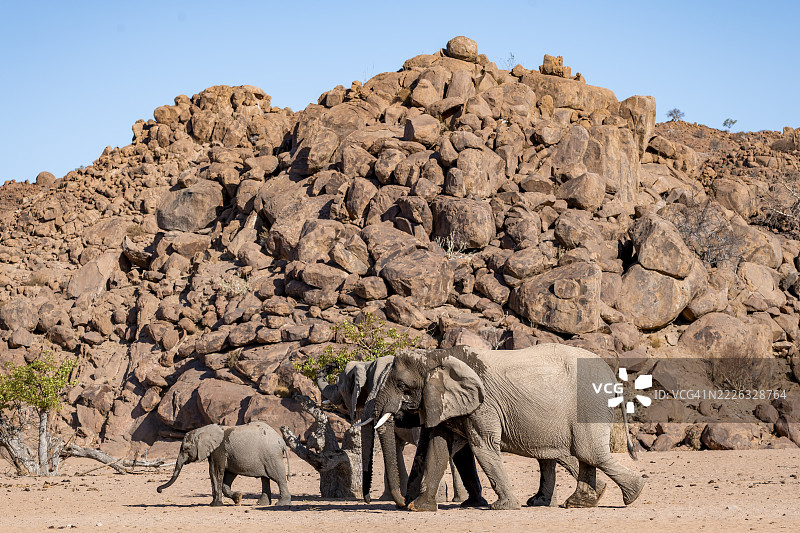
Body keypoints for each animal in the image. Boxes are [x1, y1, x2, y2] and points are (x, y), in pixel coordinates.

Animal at [157, 422, 291, 507]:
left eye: (185, 448)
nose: (159, 491)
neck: (202, 430)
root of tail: (281, 441)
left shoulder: (219, 449)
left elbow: (215, 471)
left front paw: (215, 505)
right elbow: (227, 476)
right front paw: (238, 498)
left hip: (272, 456)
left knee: (278, 478)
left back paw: (281, 504)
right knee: (265, 479)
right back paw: (262, 504)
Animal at [318, 356, 483, 505]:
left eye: (338, 386)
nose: (368, 500)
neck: (366, 364)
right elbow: (395, 446)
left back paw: (440, 498)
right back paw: (457, 499)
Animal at [371, 344, 645, 511]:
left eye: (402, 386)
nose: (402, 503)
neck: (436, 355)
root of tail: (613, 379)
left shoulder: (483, 404)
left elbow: (482, 446)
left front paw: (502, 507)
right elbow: (438, 448)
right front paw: (420, 508)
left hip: (589, 403)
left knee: (588, 452)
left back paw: (634, 494)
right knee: (581, 454)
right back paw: (578, 503)